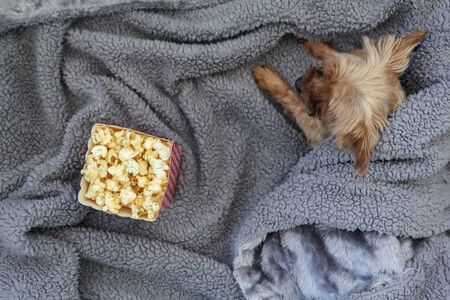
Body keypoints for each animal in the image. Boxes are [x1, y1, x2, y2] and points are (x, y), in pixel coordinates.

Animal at [253, 30, 426, 175]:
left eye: (322, 106)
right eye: (321, 72)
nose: (298, 83)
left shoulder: (316, 131)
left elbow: (294, 102)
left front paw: (267, 78)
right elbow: (329, 51)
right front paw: (309, 38)